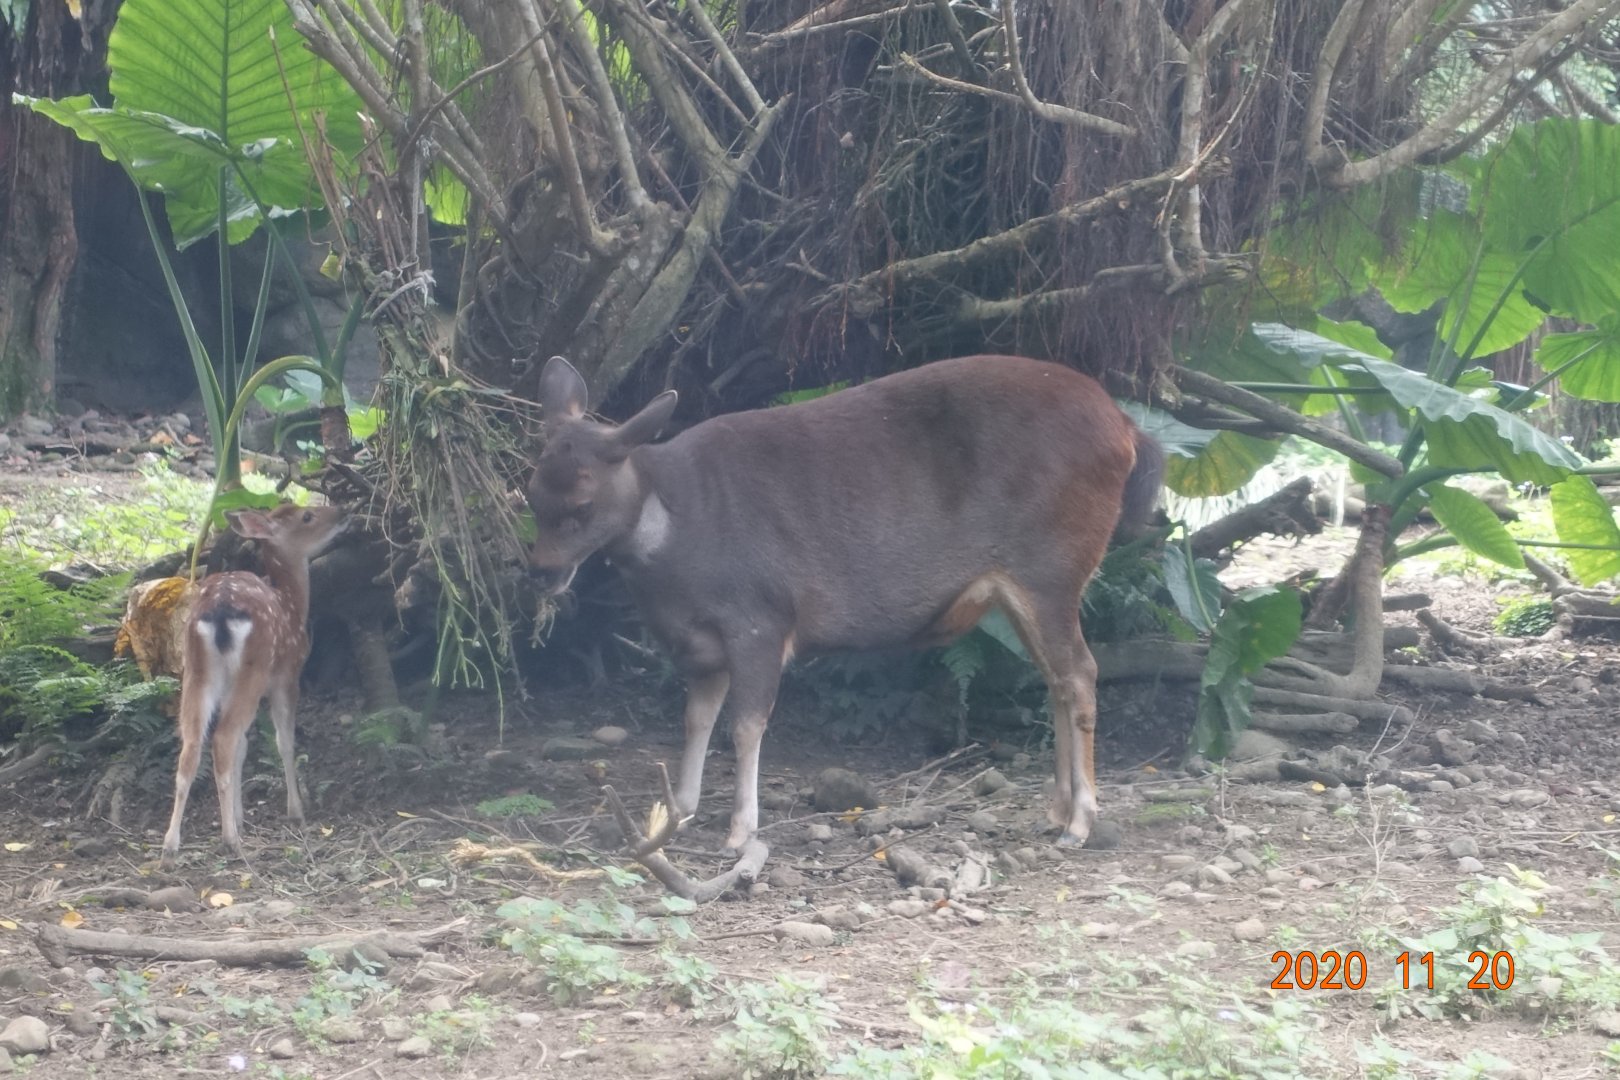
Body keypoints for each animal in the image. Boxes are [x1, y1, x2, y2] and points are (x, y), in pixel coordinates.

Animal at [160, 502, 349, 869]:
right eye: (307, 516)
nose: (342, 512)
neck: (292, 603)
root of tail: (218, 611)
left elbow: (244, 747)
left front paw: (240, 816)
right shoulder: (287, 675)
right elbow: (283, 742)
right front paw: (295, 810)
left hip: (197, 672)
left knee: (192, 745)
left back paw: (171, 845)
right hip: (255, 668)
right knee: (222, 738)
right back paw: (230, 841)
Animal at [525, 354, 1165, 853]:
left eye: (581, 502)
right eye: (530, 492)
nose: (542, 571)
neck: (679, 547)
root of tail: (1130, 432)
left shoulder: (760, 619)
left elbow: (746, 725)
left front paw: (740, 831)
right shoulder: (700, 646)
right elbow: (695, 718)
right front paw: (678, 810)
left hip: (1050, 568)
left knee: (1081, 671)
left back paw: (1082, 821)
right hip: (1024, 588)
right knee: (1057, 678)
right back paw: (1056, 812)